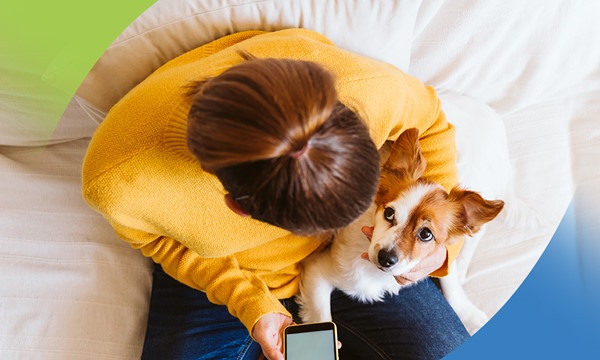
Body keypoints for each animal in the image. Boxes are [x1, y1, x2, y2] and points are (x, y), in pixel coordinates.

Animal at [298, 127, 504, 330]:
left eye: (426, 234)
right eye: (389, 213)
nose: (385, 258)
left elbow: (449, 277)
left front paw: (468, 313)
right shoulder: (318, 270)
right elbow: (323, 318)